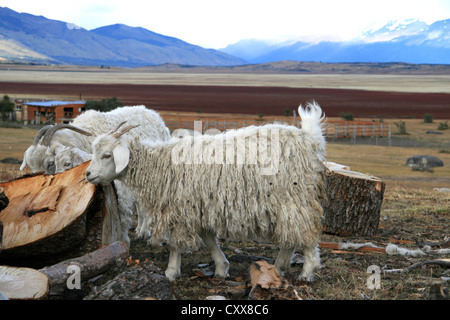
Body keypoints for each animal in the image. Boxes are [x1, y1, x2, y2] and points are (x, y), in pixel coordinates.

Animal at [84, 102, 326, 280]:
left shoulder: (182, 208)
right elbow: (209, 239)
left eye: (107, 155)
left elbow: (175, 244)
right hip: (287, 203)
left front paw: (171, 271)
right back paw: (278, 267)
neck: (160, 165)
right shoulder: (200, 205)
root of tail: (309, 138)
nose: (87, 175)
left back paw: (307, 272)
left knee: (307, 235)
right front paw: (221, 267)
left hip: (296, 197)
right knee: (290, 235)